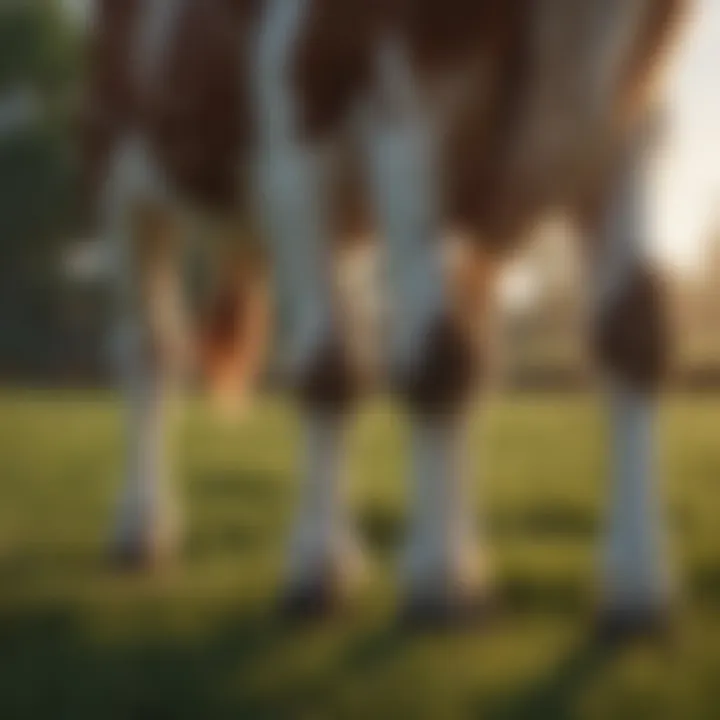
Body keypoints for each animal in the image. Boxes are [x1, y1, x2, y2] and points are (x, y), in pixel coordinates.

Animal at [83, 0, 692, 632]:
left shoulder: (635, 114)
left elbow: (636, 328)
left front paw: (638, 581)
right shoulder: (366, 114)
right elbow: (408, 361)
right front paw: (420, 576)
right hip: (119, 174)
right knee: (149, 349)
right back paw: (140, 530)